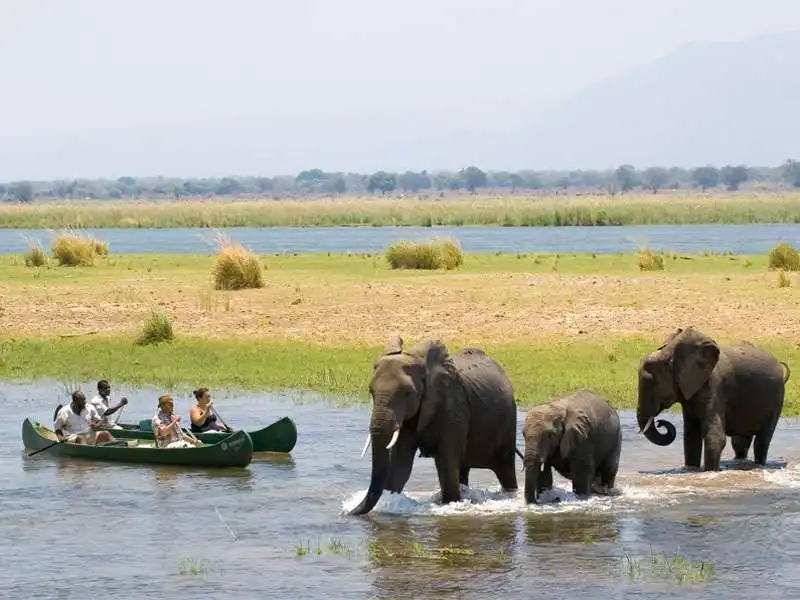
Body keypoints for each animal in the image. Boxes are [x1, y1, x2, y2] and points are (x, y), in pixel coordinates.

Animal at [346, 332, 520, 516]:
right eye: (371, 392)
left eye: (408, 393)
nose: (346, 512)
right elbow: (400, 466)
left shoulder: (453, 406)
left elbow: (445, 464)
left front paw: (449, 504)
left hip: (508, 420)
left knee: (504, 468)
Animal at [636, 326, 792, 472]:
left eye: (653, 386)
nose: (660, 423)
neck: (670, 354)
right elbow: (691, 437)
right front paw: (691, 470)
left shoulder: (715, 386)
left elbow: (715, 437)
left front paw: (711, 472)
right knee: (740, 442)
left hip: (777, 398)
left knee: (762, 441)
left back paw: (758, 465)